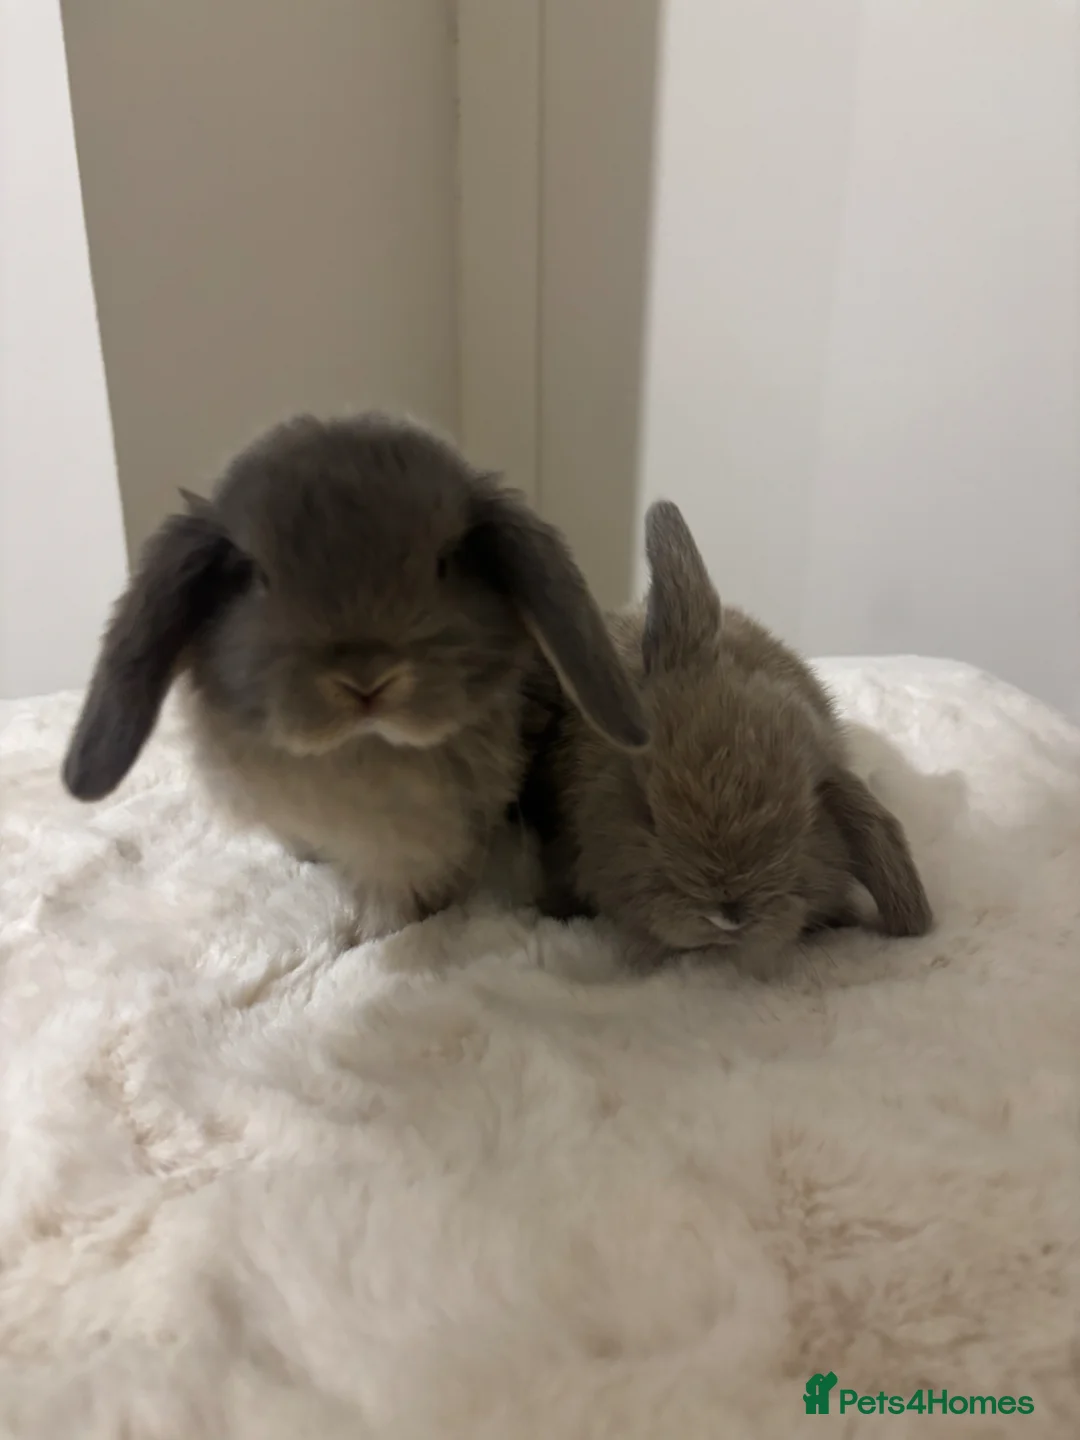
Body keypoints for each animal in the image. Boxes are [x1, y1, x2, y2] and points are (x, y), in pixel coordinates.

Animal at [61, 411, 648, 940]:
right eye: (254, 576)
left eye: (445, 562)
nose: (367, 680)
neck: (358, 752)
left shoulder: (412, 845)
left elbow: (393, 897)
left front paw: (367, 939)